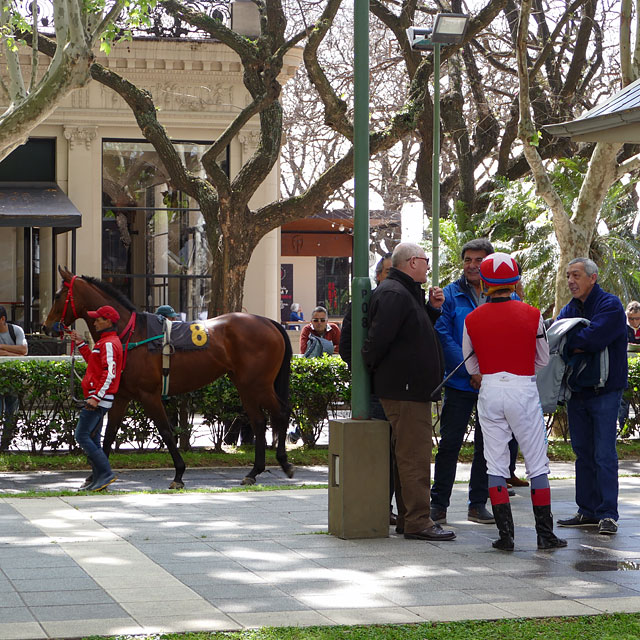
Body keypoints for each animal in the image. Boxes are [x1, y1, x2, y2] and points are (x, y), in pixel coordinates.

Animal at [43, 268, 294, 488]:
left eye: (57, 295)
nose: (46, 327)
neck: (130, 334)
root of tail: (270, 322)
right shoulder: (122, 395)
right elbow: (109, 433)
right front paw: (96, 476)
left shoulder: (149, 395)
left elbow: (165, 431)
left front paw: (179, 474)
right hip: (245, 384)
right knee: (259, 421)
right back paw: (254, 472)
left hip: (258, 384)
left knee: (281, 413)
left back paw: (283, 463)